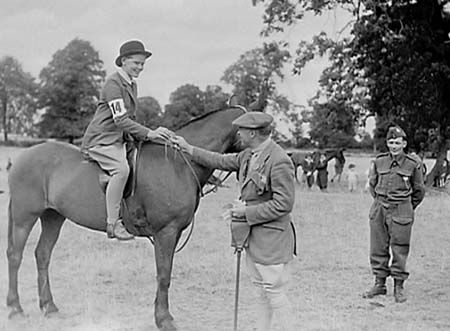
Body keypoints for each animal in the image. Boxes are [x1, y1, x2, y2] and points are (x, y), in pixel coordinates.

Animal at [5, 106, 246, 331]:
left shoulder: (173, 233)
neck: (178, 162)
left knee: (42, 255)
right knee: (15, 256)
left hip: (53, 217)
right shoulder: (166, 232)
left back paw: (49, 306)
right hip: (24, 217)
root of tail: (22, 158)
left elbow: (165, 272)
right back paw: (15, 307)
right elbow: (163, 274)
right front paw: (164, 319)